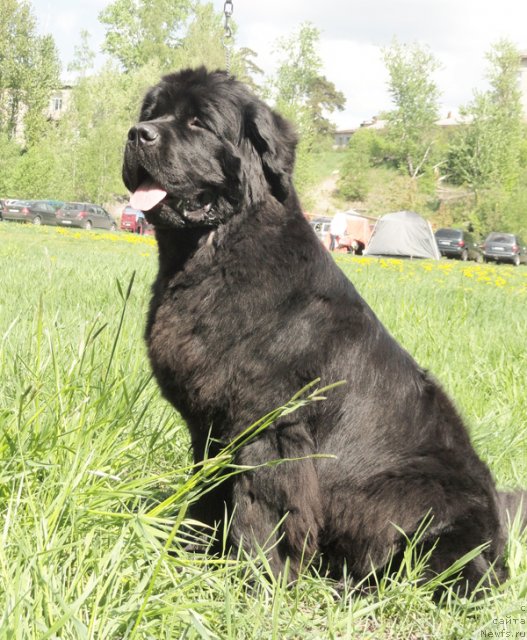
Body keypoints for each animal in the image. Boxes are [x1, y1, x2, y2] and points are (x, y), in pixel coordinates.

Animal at [125, 67, 527, 592]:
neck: (213, 255)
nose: (137, 134)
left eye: (199, 122)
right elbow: (209, 488)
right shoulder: (209, 424)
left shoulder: (272, 425)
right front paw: (192, 549)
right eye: (151, 114)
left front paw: (256, 580)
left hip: (411, 494)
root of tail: (499, 529)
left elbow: (261, 508)